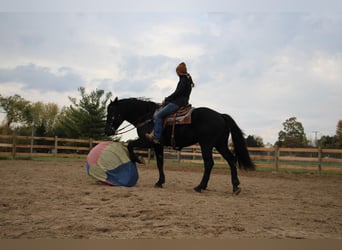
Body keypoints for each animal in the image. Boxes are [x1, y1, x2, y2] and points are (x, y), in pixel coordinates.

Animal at [104, 97, 254, 193]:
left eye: (111, 112)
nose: (107, 131)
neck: (148, 117)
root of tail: (221, 115)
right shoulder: (158, 145)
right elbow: (160, 163)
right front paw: (160, 182)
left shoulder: (149, 141)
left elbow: (130, 145)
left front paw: (139, 159)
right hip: (220, 144)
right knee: (231, 160)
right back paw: (235, 187)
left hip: (206, 145)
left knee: (209, 163)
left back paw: (200, 187)